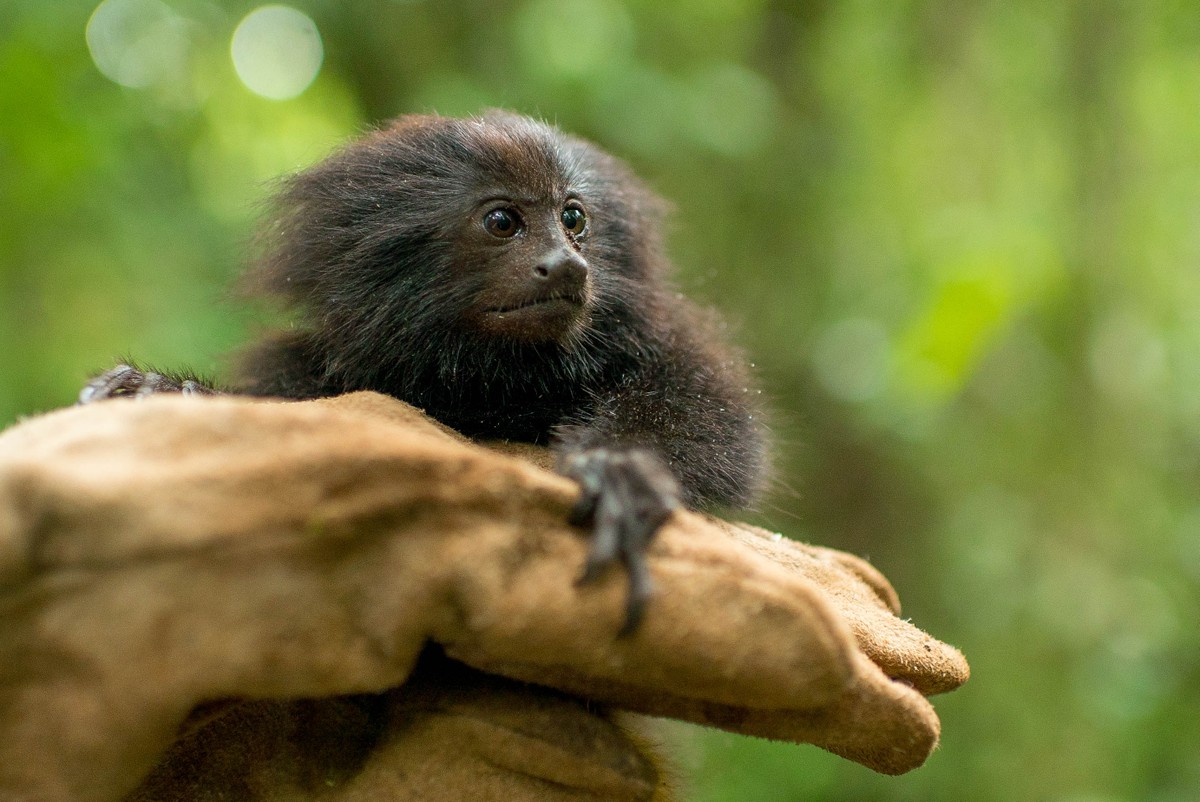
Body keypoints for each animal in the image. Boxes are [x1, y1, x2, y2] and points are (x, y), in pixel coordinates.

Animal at [79, 109, 763, 633]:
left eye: (573, 219)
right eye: (503, 221)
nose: (566, 264)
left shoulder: (665, 336)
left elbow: (723, 427)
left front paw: (620, 471)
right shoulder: (300, 365)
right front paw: (164, 389)